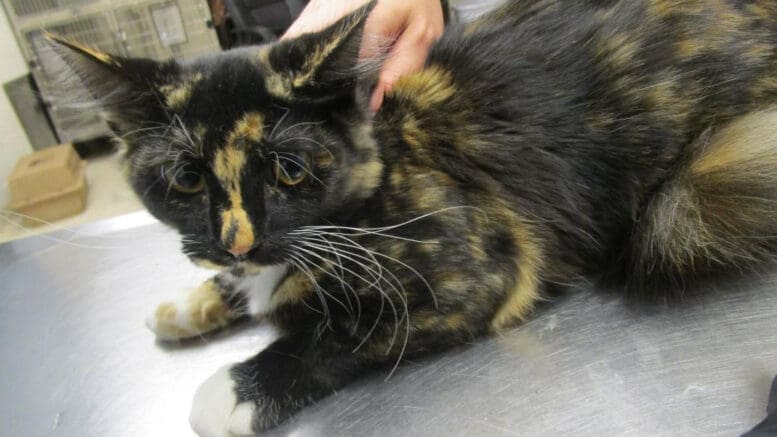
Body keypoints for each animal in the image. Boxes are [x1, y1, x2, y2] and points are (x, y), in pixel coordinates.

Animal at [50, 0, 777, 432]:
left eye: (290, 169)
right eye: (185, 177)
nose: (237, 240)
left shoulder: (479, 269)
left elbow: (340, 330)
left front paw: (235, 388)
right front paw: (190, 302)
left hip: (688, 207)